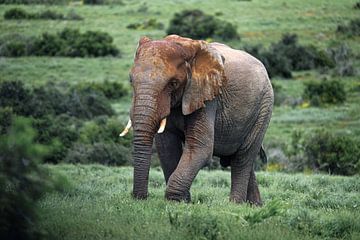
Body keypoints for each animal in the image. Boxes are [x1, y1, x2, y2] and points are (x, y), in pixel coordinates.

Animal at [120, 34, 272, 205]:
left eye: (173, 83)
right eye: (131, 80)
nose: (142, 198)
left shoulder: (207, 95)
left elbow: (200, 147)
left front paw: (175, 201)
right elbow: (167, 147)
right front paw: (184, 201)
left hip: (264, 107)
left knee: (243, 157)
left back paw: (235, 204)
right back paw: (254, 206)